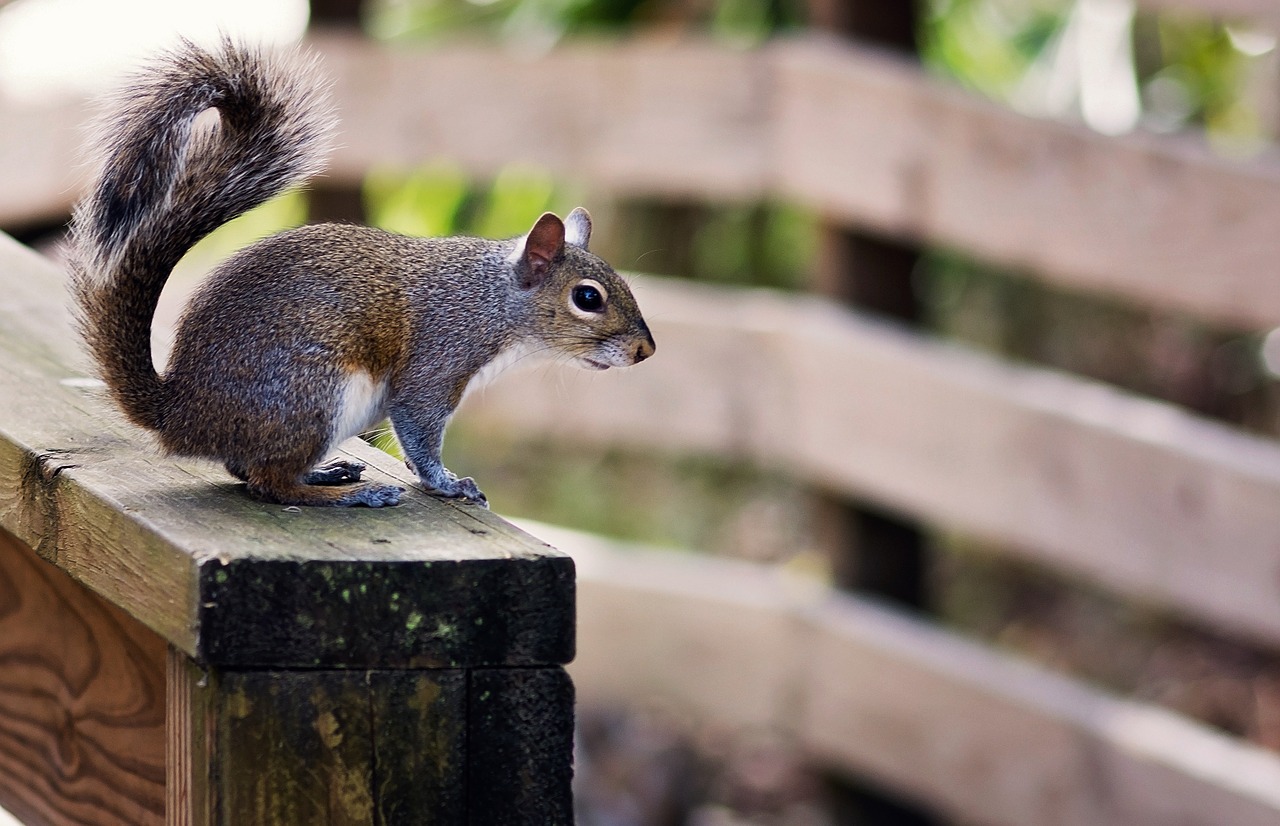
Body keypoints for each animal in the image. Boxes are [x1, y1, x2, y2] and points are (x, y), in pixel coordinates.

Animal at [64, 40, 655, 509]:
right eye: (587, 298)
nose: (645, 351)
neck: (493, 301)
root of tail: (180, 414)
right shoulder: (439, 357)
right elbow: (418, 426)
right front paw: (448, 483)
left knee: (244, 469)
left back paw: (330, 473)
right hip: (311, 396)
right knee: (269, 484)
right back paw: (347, 495)